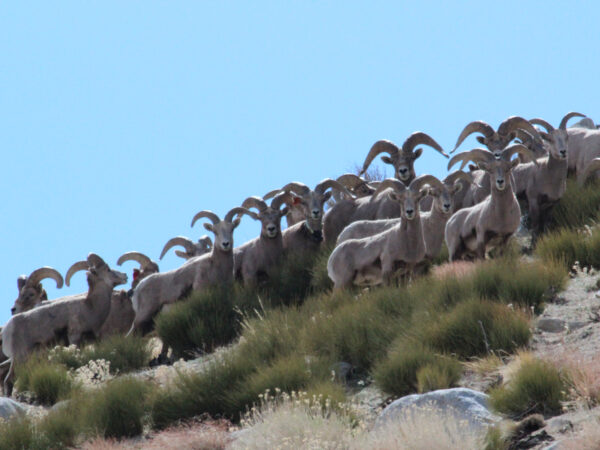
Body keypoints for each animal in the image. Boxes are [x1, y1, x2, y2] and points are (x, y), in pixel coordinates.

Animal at [0, 255, 125, 396]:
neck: (90, 307)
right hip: (19, 359)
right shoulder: (74, 338)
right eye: (108, 269)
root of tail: (6, 331)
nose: (125, 276)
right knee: (9, 381)